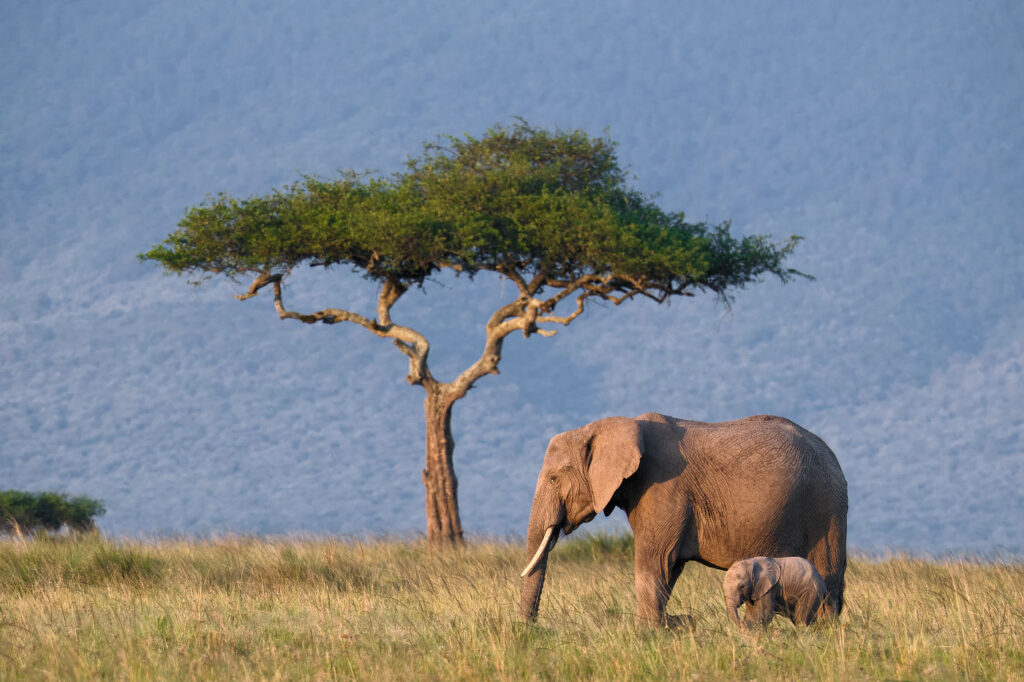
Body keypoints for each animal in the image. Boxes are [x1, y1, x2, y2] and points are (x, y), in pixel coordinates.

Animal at [519, 413, 847, 625]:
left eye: (553, 479)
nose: (531, 630)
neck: (606, 426)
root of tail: (833, 456)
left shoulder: (663, 487)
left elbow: (656, 562)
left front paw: (649, 635)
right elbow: (669, 569)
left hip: (824, 508)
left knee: (827, 576)